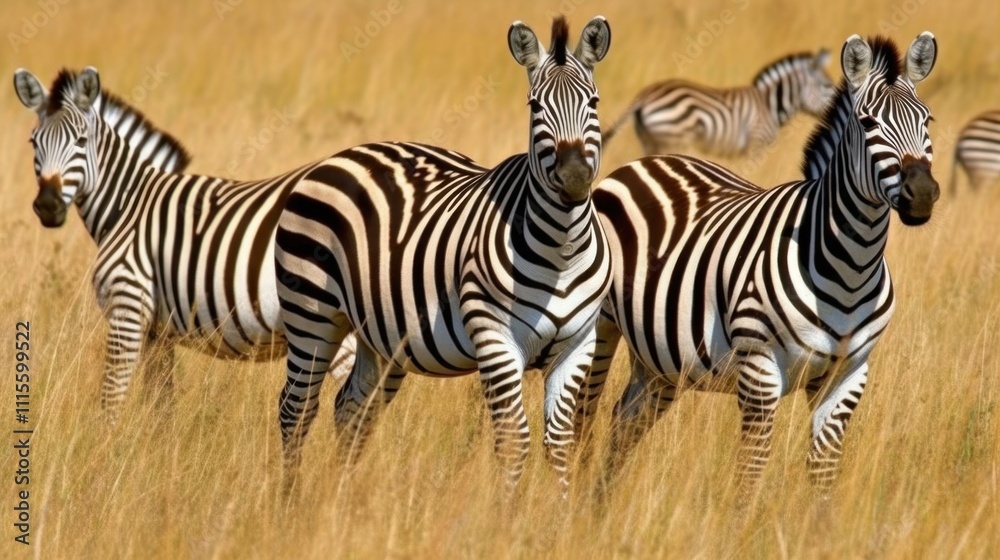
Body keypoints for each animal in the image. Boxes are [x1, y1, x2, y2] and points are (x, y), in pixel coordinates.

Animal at [14, 67, 356, 424]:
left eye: (81, 141)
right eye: (33, 142)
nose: (48, 206)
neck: (129, 204)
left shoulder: (128, 305)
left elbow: (112, 398)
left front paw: (107, 439)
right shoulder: (158, 331)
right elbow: (161, 402)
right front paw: (152, 439)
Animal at [274, 15, 612, 493]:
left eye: (594, 102)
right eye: (534, 108)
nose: (575, 177)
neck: (561, 250)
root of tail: (341, 156)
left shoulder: (579, 344)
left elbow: (559, 443)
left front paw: (560, 513)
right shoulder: (495, 337)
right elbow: (515, 441)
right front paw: (506, 512)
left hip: (381, 337)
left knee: (351, 409)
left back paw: (340, 499)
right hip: (311, 313)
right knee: (297, 409)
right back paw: (290, 501)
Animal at [604, 49, 835, 158]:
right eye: (827, 85)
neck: (769, 104)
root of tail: (646, 95)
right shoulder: (756, 144)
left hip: (649, 141)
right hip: (673, 139)